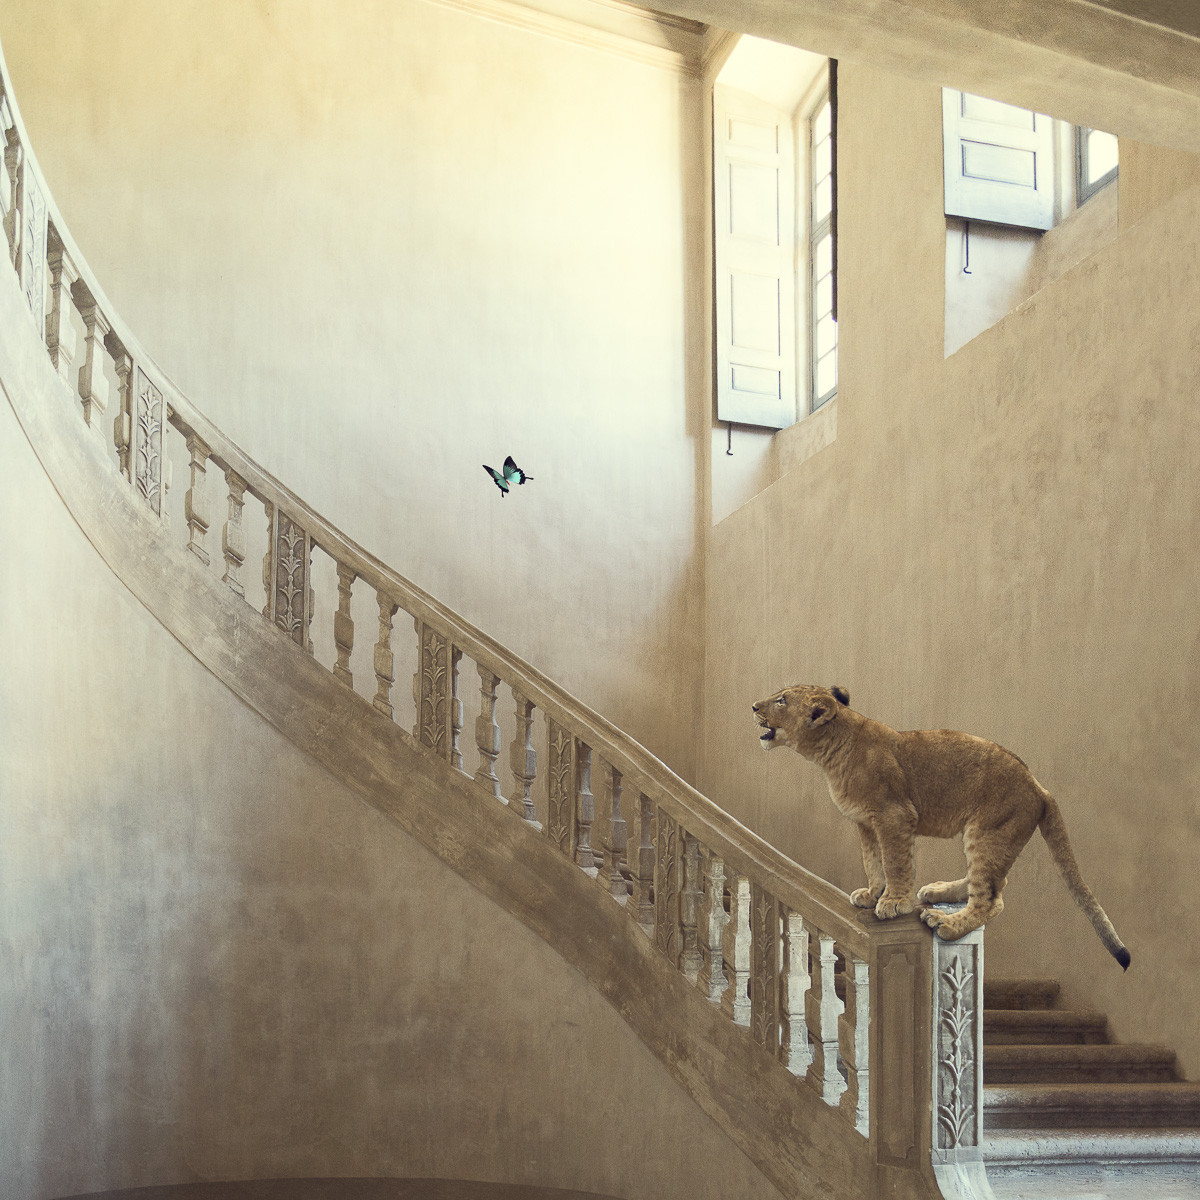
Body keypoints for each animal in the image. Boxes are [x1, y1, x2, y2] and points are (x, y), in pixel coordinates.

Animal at [752, 684, 1130, 969]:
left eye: (782, 699)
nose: (753, 705)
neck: (830, 751)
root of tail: (1040, 787)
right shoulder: (866, 822)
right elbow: (873, 861)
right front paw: (873, 893)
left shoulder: (894, 816)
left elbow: (895, 863)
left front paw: (894, 903)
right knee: (994, 884)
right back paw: (938, 892)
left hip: (987, 831)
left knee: (992, 900)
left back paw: (946, 923)